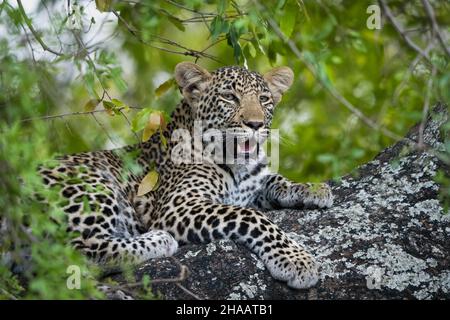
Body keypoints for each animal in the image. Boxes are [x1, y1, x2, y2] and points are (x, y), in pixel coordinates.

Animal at [38, 62, 332, 290]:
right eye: (230, 97)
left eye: (264, 99)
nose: (255, 124)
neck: (237, 164)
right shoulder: (178, 205)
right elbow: (251, 217)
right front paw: (296, 260)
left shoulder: (250, 187)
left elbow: (274, 179)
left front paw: (312, 189)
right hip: (91, 184)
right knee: (77, 254)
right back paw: (158, 240)